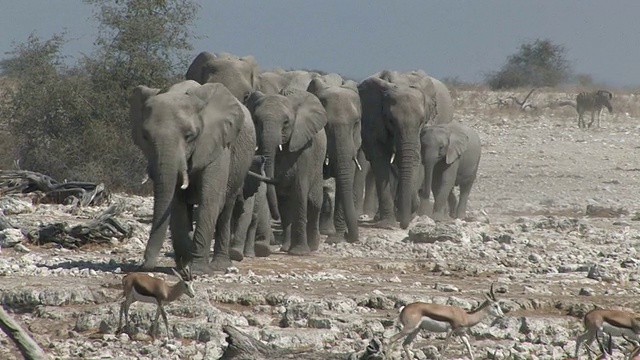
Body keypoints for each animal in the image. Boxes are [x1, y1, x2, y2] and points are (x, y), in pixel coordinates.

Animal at [129, 80, 272, 274]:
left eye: (190, 136)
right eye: (145, 136)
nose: (142, 265)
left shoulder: (217, 145)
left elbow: (210, 199)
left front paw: (197, 270)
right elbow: (177, 203)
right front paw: (185, 261)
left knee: (227, 208)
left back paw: (221, 265)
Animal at [244, 88, 328, 255]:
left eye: (286, 122)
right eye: (256, 121)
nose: (261, 160)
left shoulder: (304, 149)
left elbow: (300, 191)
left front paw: (300, 253)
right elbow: (281, 199)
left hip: (318, 167)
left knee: (314, 203)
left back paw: (313, 246)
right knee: (285, 206)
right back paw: (286, 247)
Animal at [358, 69, 452, 229]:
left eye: (421, 121)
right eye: (391, 120)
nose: (404, 225)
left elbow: (415, 158)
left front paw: (407, 212)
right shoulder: (374, 119)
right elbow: (380, 160)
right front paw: (388, 223)